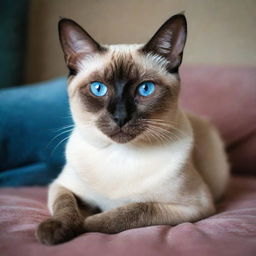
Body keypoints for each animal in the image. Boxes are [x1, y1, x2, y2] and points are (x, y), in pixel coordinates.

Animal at [36, 13, 230, 244]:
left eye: (145, 89)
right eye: (98, 88)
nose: (121, 117)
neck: (121, 155)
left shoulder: (193, 207)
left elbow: (132, 211)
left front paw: (88, 222)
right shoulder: (61, 186)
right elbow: (65, 206)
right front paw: (54, 230)